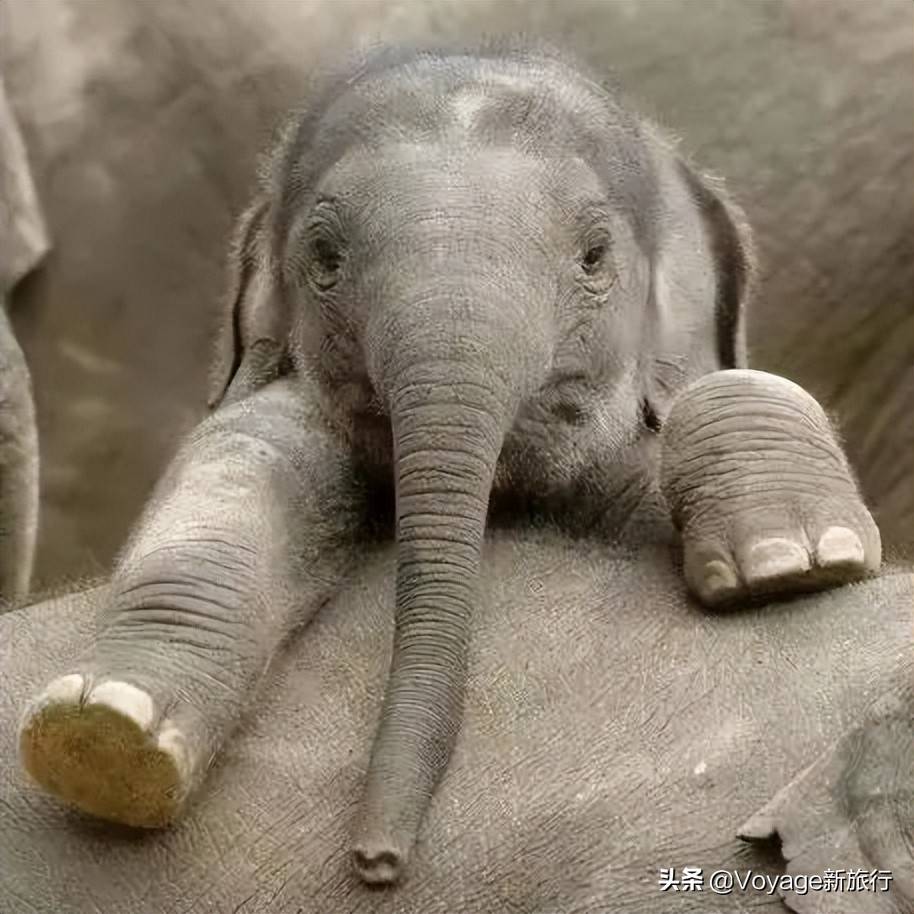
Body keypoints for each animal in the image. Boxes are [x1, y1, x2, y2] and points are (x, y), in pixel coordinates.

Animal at [19, 41, 876, 884]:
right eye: (324, 258)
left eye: (594, 257)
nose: (376, 860)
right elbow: (243, 455)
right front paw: (107, 737)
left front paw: (793, 561)